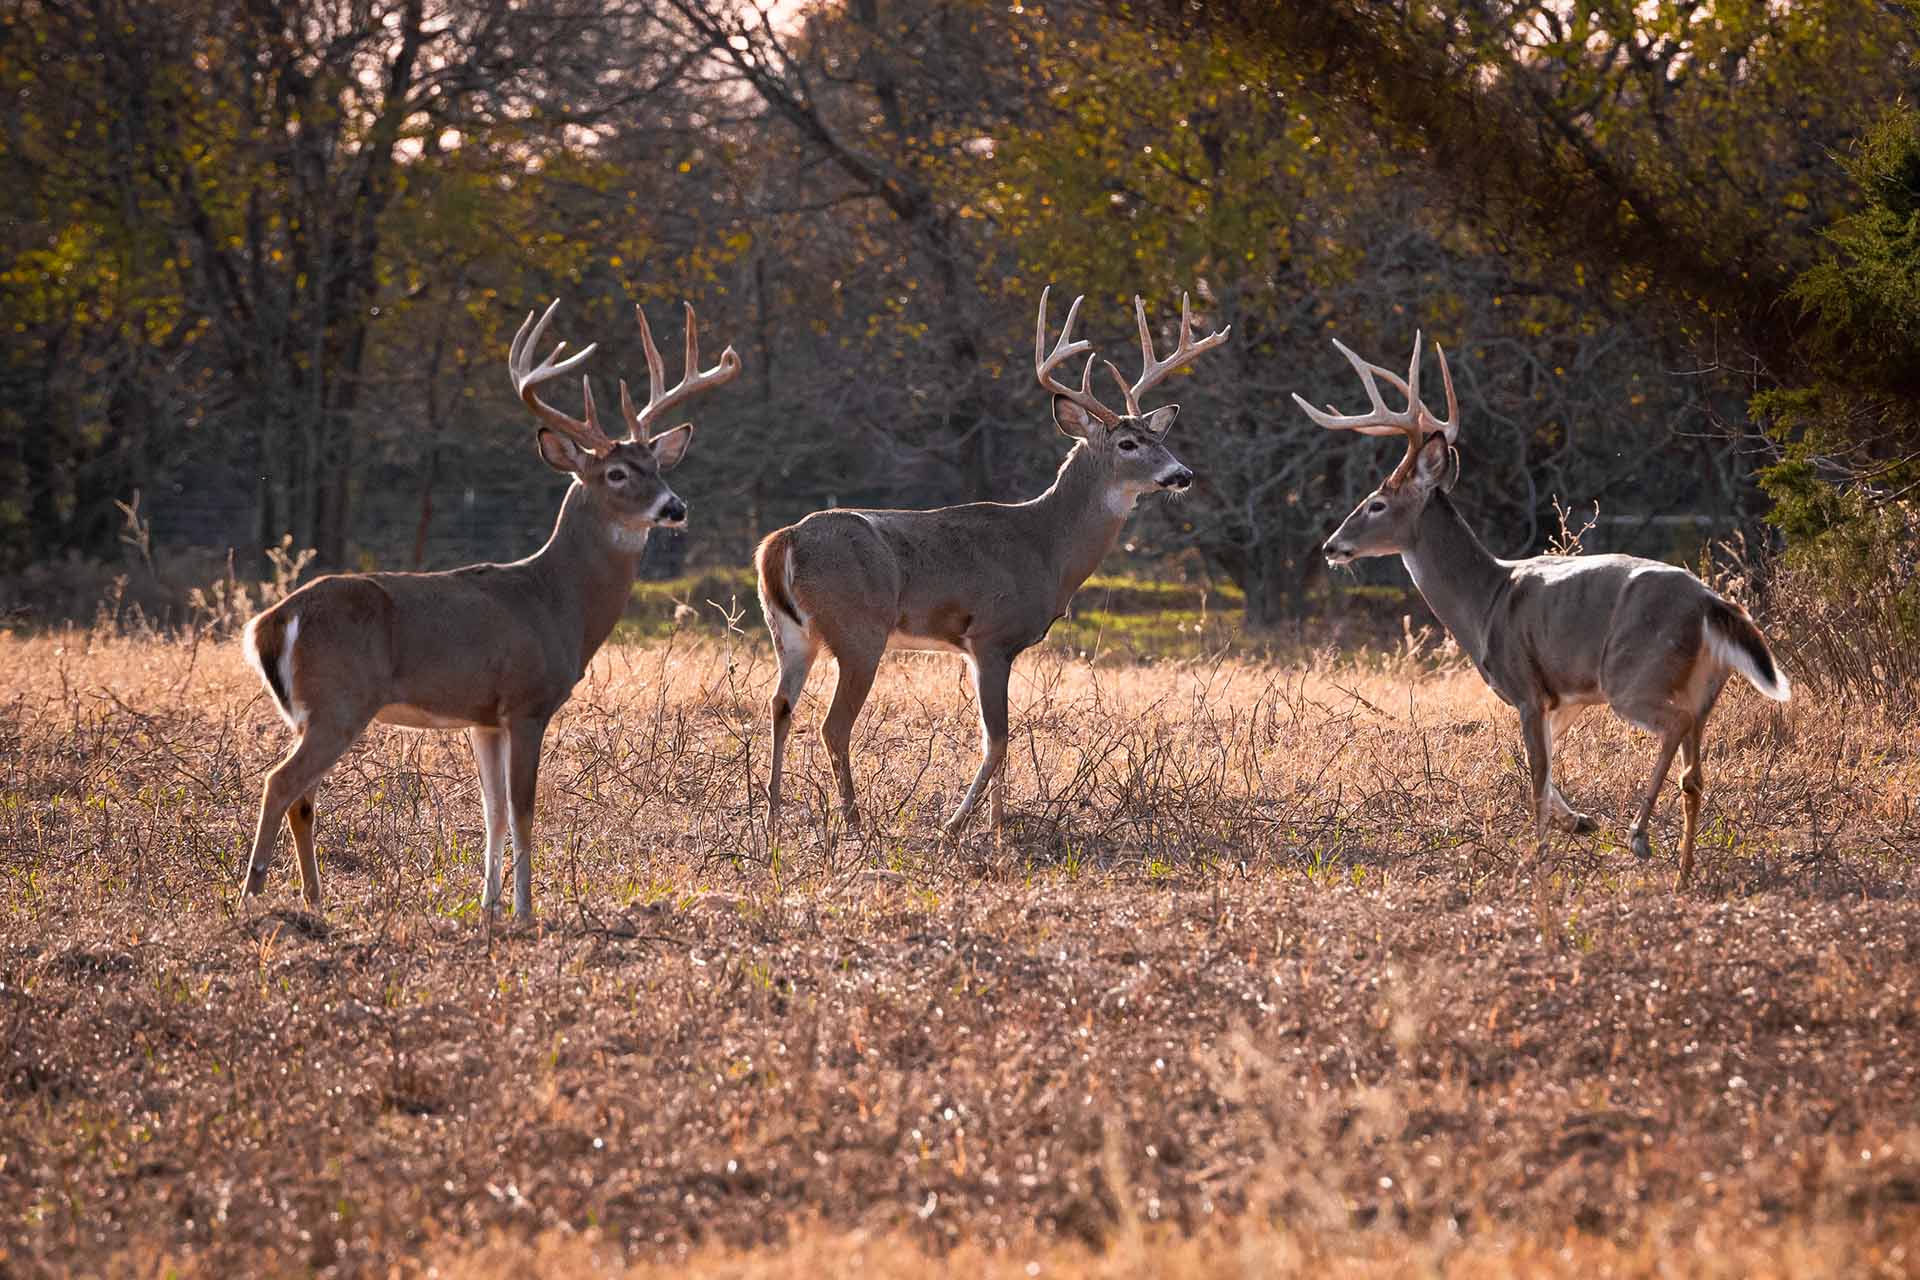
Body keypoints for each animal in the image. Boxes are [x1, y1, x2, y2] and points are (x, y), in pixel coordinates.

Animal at [238, 297, 741, 917]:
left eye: (659, 466)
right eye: (617, 473)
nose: (675, 507)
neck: (557, 602)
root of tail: (272, 621)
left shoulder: (483, 716)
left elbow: (493, 813)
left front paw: (489, 906)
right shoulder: (528, 702)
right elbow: (524, 811)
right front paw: (525, 910)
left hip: (311, 710)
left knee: (303, 797)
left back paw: (313, 898)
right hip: (340, 700)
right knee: (279, 783)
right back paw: (254, 894)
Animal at [755, 288, 1230, 842]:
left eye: (1159, 439)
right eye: (1127, 443)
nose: (1183, 474)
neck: (1046, 547)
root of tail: (783, 540)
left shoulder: (992, 647)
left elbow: (1002, 739)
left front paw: (998, 826)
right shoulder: (990, 636)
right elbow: (997, 738)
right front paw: (961, 825)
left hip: (790, 631)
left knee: (779, 706)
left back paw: (771, 816)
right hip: (858, 630)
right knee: (833, 725)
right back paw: (855, 823)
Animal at [1296, 333, 1789, 889]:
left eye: (1376, 503)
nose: (1332, 546)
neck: (1484, 601)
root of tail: (1711, 602)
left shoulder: (1526, 688)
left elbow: (1534, 776)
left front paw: (1539, 856)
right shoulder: (1563, 698)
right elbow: (1545, 770)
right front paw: (1580, 822)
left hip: (1633, 674)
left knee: (1674, 726)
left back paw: (1639, 835)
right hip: (1706, 684)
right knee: (1694, 773)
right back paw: (1682, 874)